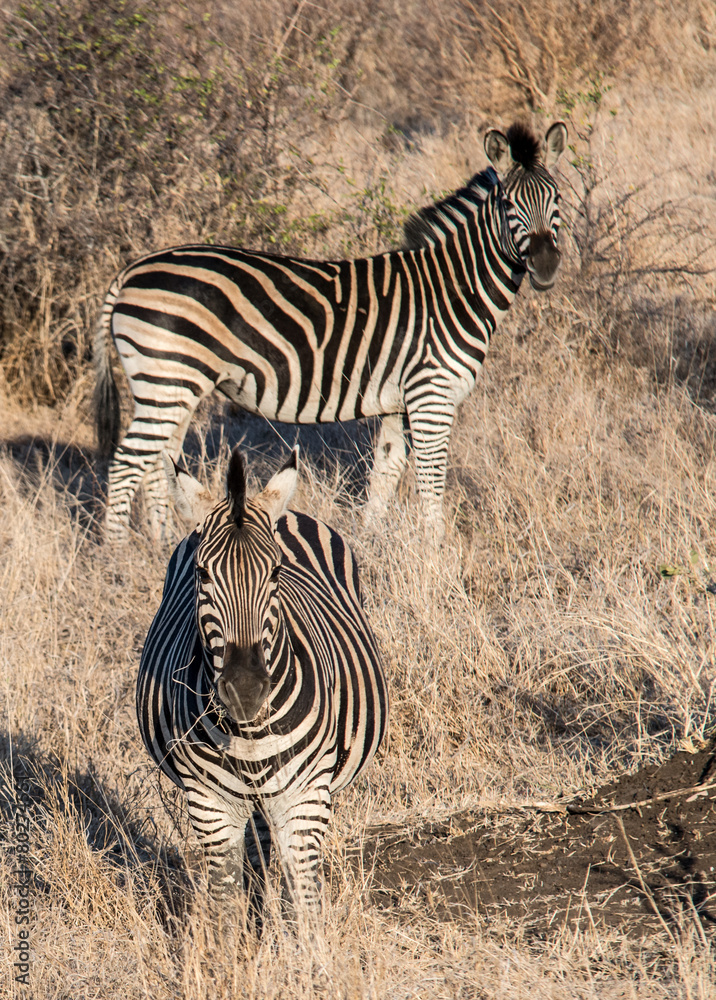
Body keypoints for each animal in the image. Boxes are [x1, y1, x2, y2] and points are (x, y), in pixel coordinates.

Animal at [95, 121, 567, 539]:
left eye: (557, 198)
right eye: (508, 204)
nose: (546, 266)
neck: (453, 288)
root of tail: (130, 271)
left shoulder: (399, 402)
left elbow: (386, 472)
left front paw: (370, 543)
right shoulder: (431, 394)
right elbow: (431, 479)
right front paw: (438, 552)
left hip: (173, 386)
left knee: (158, 464)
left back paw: (161, 546)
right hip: (166, 378)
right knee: (125, 466)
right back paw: (116, 557)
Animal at [137, 446, 388, 926]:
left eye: (274, 573)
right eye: (201, 575)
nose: (245, 692)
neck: (249, 732)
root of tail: (286, 511)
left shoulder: (305, 798)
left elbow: (304, 902)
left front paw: (303, 947)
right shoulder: (210, 804)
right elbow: (224, 902)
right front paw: (237, 946)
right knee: (255, 853)